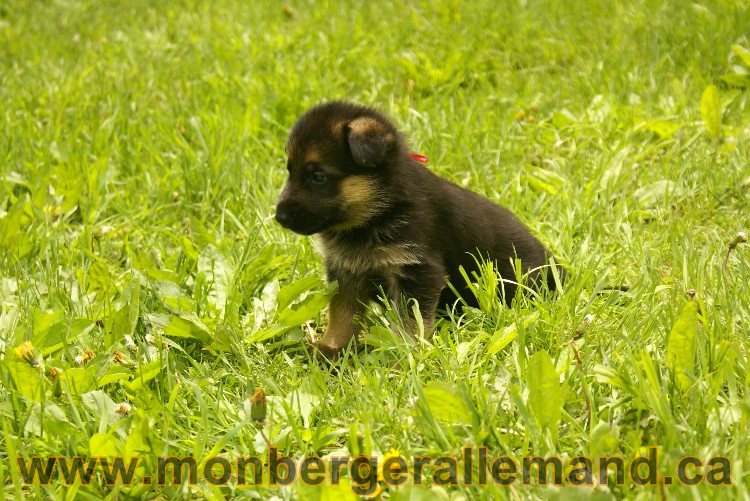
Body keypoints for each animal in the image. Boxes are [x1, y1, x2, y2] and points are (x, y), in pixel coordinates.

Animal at [278, 101, 564, 358]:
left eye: (318, 176)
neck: (379, 211)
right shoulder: (346, 272)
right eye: (290, 171)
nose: (279, 216)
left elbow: (411, 322)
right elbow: (341, 314)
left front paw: (404, 356)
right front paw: (332, 349)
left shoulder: (418, 271)